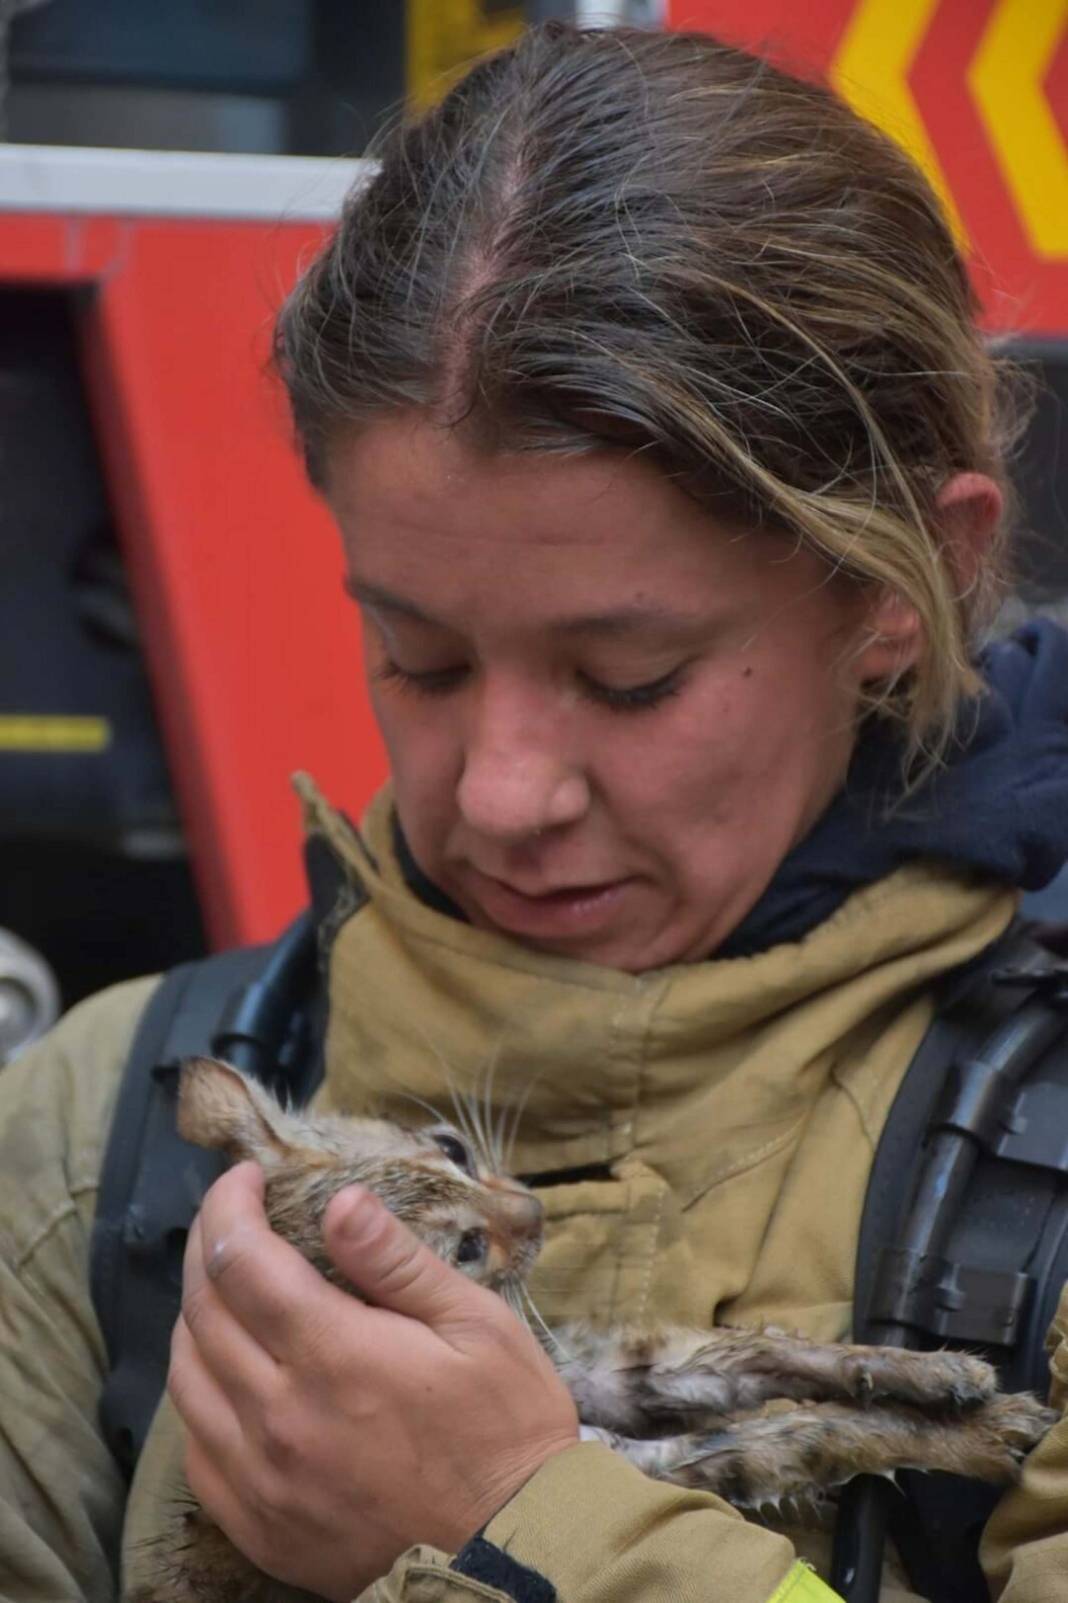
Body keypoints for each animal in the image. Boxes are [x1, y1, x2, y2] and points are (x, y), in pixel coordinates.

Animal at [135, 1051, 1058, 1603]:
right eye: (463, 1250)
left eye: (454, 1149)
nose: (536, 1209)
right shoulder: (634, 1453)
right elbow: (798, 1435)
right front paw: (974, 1436)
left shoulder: (595, 1371)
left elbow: (758, 1353)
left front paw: (935, 1374)